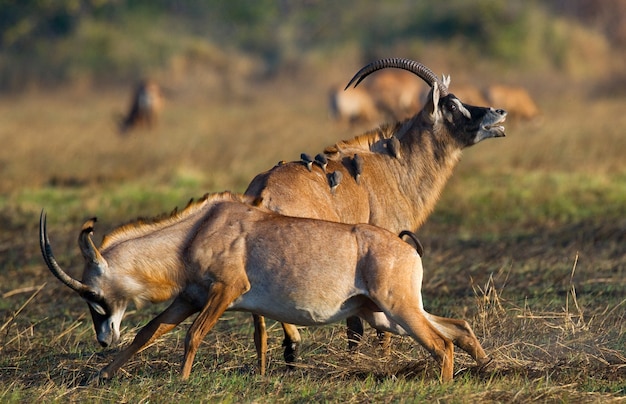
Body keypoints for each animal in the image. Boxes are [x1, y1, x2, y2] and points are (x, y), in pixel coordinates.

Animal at [39, 193, 490, 382]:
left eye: (93, 294)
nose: (103, 340)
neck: (196, 231)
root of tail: (405, 245)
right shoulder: (190, 297)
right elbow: (147, 334)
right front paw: (100, 377)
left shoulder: (226, 290)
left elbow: (192, 335)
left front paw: (181, 381)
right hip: (383, 314)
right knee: (459, 328)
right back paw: (486, 367)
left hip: (397, 310)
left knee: (441, 343)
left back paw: (447, 383)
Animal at [246, 56, 504, 372]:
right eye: (452, 106)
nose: (498, 112)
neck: (394, 164)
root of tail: (264, 192)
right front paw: (380, 358)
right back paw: (291, 346)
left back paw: (265, 361)